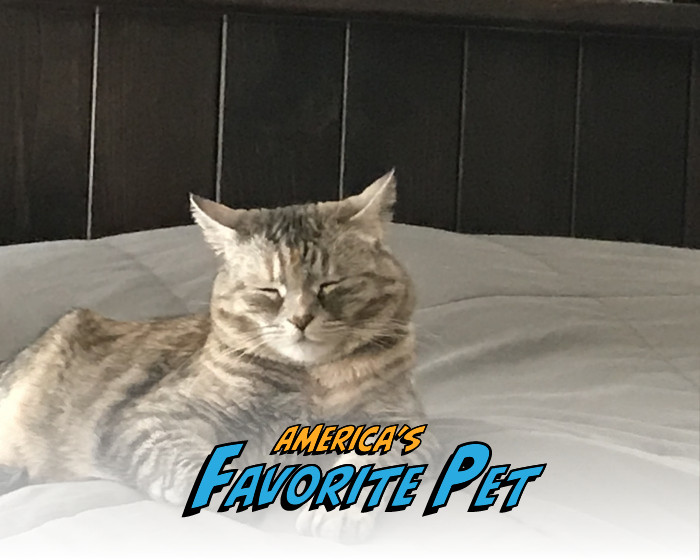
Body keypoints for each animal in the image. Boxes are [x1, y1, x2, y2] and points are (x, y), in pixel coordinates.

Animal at [0, 170, 431, 541]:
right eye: (268, 291)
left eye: (331, 285)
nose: (301, 319)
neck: (312, 380)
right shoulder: (155, 418)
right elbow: (203, 470)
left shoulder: (400, 422)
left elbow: (371, 467)